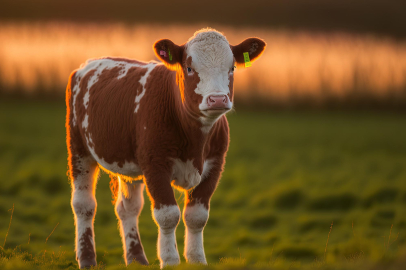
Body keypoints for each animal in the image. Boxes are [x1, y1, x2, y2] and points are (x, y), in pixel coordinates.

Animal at [66, 28, 266, 268]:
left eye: (232, 68)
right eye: (189, 68)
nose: (217, 99)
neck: (195, 142)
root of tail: (87, 64)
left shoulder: (215, 164)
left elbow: (197, 216)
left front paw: (197, 260)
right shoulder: (155, 164)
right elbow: (168, 215)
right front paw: (170, 260)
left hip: (128, 165)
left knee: (128, 208)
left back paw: (136, 259)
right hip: (79, 150)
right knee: (84, 205)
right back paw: (86, 258)